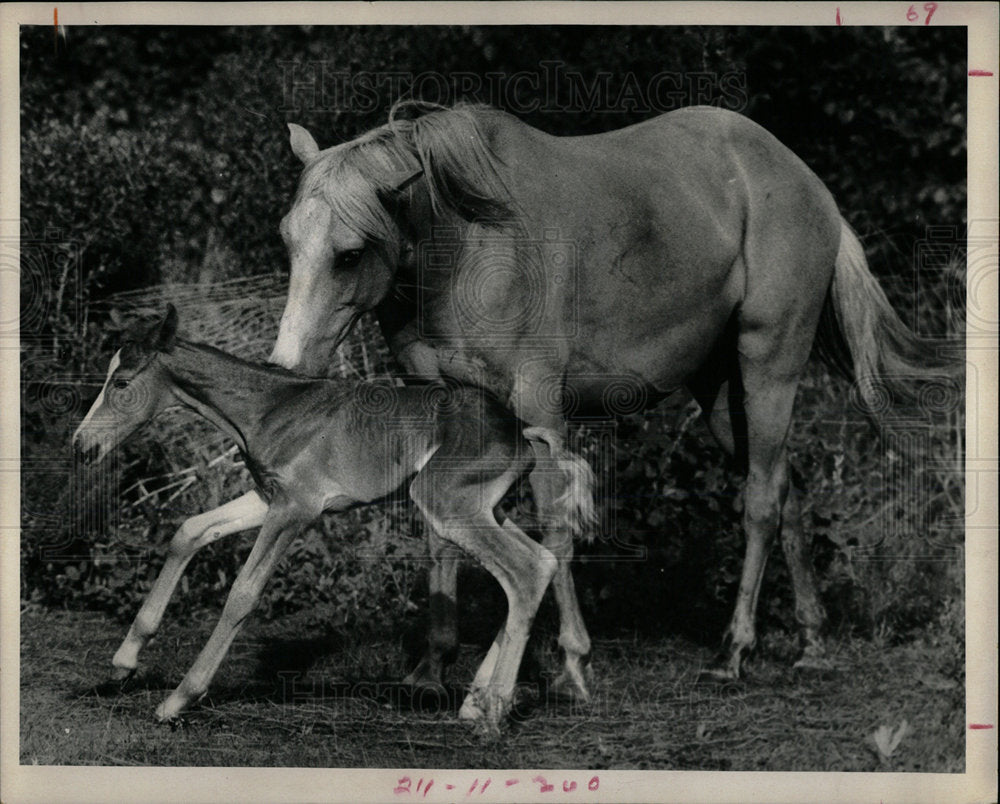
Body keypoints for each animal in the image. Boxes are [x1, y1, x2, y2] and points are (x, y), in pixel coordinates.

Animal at [76, 304, 600, 724]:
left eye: (121, 383)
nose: (83, 446)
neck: (271, 408)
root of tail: (522, 434)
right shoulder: (269, 497)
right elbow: (189, 531)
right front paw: (124, 662)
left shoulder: (297, 507)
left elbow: (243, 593)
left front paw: (179, 699)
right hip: (482, 506)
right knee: (538, 564)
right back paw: (476, 702)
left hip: (443, 501)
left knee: (525, 570)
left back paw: (490, 713)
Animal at [262, 100, 948, 696]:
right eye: (288, 240)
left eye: (350, 254)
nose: (287, 367)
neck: (468, 245)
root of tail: (811, 188)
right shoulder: (442, 405)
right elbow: (441, 532)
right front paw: (431, 668)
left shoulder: (540, 408)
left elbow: (555, 523)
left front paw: (571, 663)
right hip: (725, 397)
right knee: (785, 488)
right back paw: (811, 643)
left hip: (768, 371)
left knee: (759, 502)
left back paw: (733, 651)